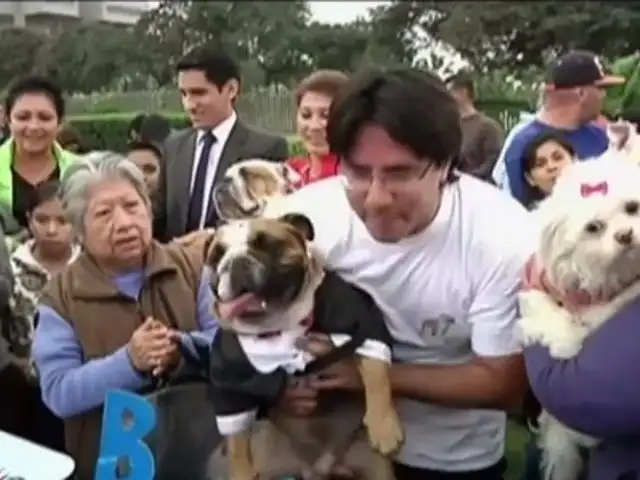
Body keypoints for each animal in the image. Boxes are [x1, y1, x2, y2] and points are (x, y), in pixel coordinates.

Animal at [516, 154, 640, 480]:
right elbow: (548, 312)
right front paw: (565, 345)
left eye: (632, 208)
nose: (625, 236)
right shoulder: (537, 285)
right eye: (594, 227)